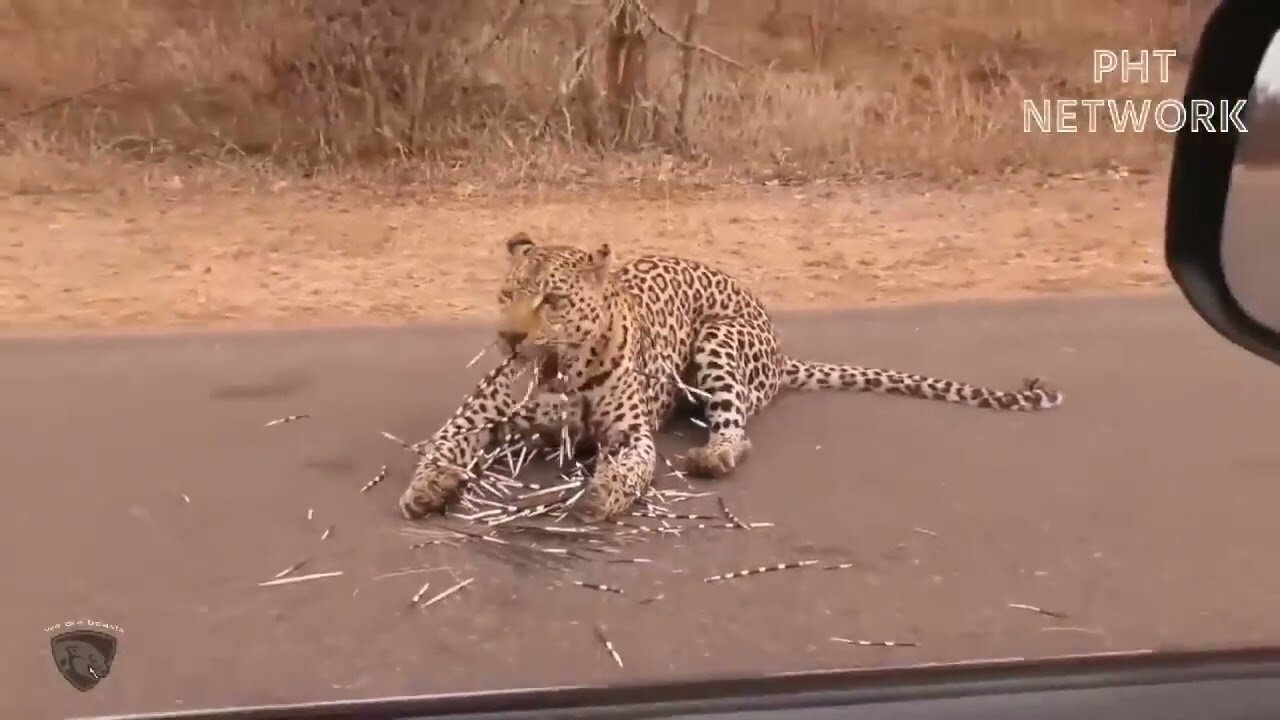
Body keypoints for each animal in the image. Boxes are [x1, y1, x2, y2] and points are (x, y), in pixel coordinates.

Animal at [399, 234, 1059, 520]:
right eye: (507, 294)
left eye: (553, 301)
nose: (509, 337)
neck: (565, 372)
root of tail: (781, 349)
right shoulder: (474, 415)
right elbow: (443, 446)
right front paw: (428, 489)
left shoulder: (632, 437)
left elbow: (629, 468)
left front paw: (603, 495)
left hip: (718, 341)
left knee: (736, 429)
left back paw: (712, 455)